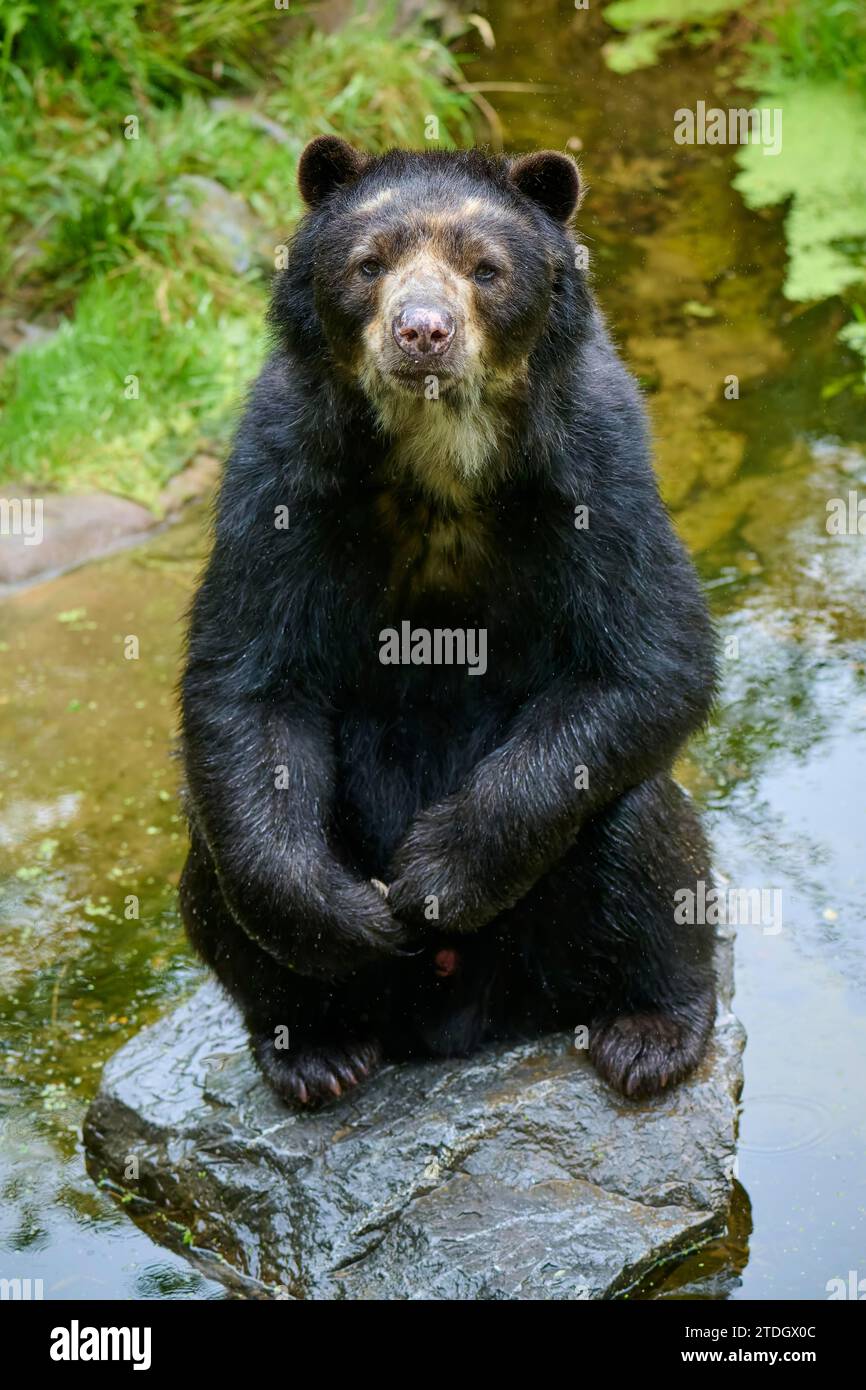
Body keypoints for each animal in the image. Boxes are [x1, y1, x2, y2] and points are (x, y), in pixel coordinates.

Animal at [177, 138, 717, 1106]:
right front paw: (350, 915)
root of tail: (460, 1020)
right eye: (369, 263)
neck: (438, 455)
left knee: (641, 826)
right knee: (214, 856)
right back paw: (317, 1048)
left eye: (485, 268)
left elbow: (650, 654)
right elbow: (249, 681)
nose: (422, 331)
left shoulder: (598, 461)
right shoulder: (280, 470)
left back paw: (649, 1032)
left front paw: (433, 877)